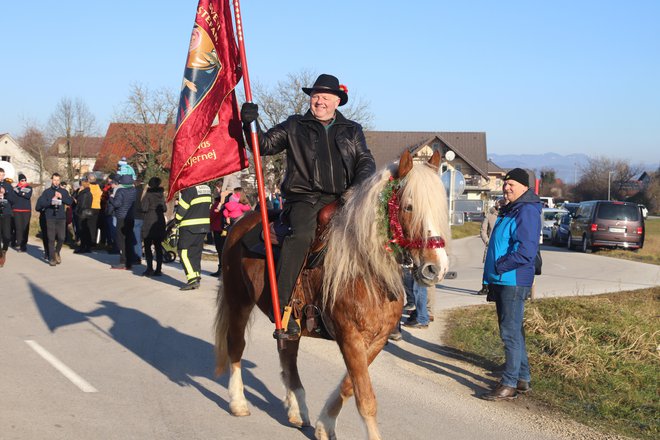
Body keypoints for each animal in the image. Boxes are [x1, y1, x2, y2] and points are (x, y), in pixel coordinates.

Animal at [214, 150, 452, 438]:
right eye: (408, 206)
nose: (435, 268)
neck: (365, 267)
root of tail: (241, 222)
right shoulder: (349, 336)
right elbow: (365, 398)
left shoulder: (377, 339)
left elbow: (349, 386)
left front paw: (324, 425)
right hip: (239, 301)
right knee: (236, 345)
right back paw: (238, 402)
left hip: (290, 320)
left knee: (288, 355)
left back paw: (297, 409)